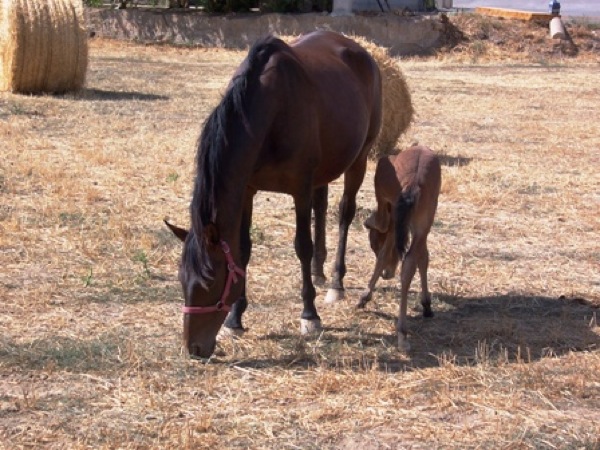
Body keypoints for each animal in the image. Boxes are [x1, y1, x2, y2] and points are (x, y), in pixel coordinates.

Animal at [166, 29, 382, 356]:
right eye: (181, 279)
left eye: (210, 282)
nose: (195, 349)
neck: (272, 111)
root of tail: (360, 50)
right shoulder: (247, 190)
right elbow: (243, 249)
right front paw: (235, 318)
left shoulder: (299, 189)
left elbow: (302, 246)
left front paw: (310, 315)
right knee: (322, 206)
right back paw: (319, 272)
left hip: (359, 158)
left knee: (345, 213)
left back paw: (335, 283)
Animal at [356, 145, 440, 352]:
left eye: (373, 244)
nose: (387, 274)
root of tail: (413, 183)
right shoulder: (420, 228)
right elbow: (423, 258)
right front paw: (427, 305)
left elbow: (384, 251)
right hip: (423, 222)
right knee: (410, 263)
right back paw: (403, 331)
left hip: (396, 215)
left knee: (396, 252)